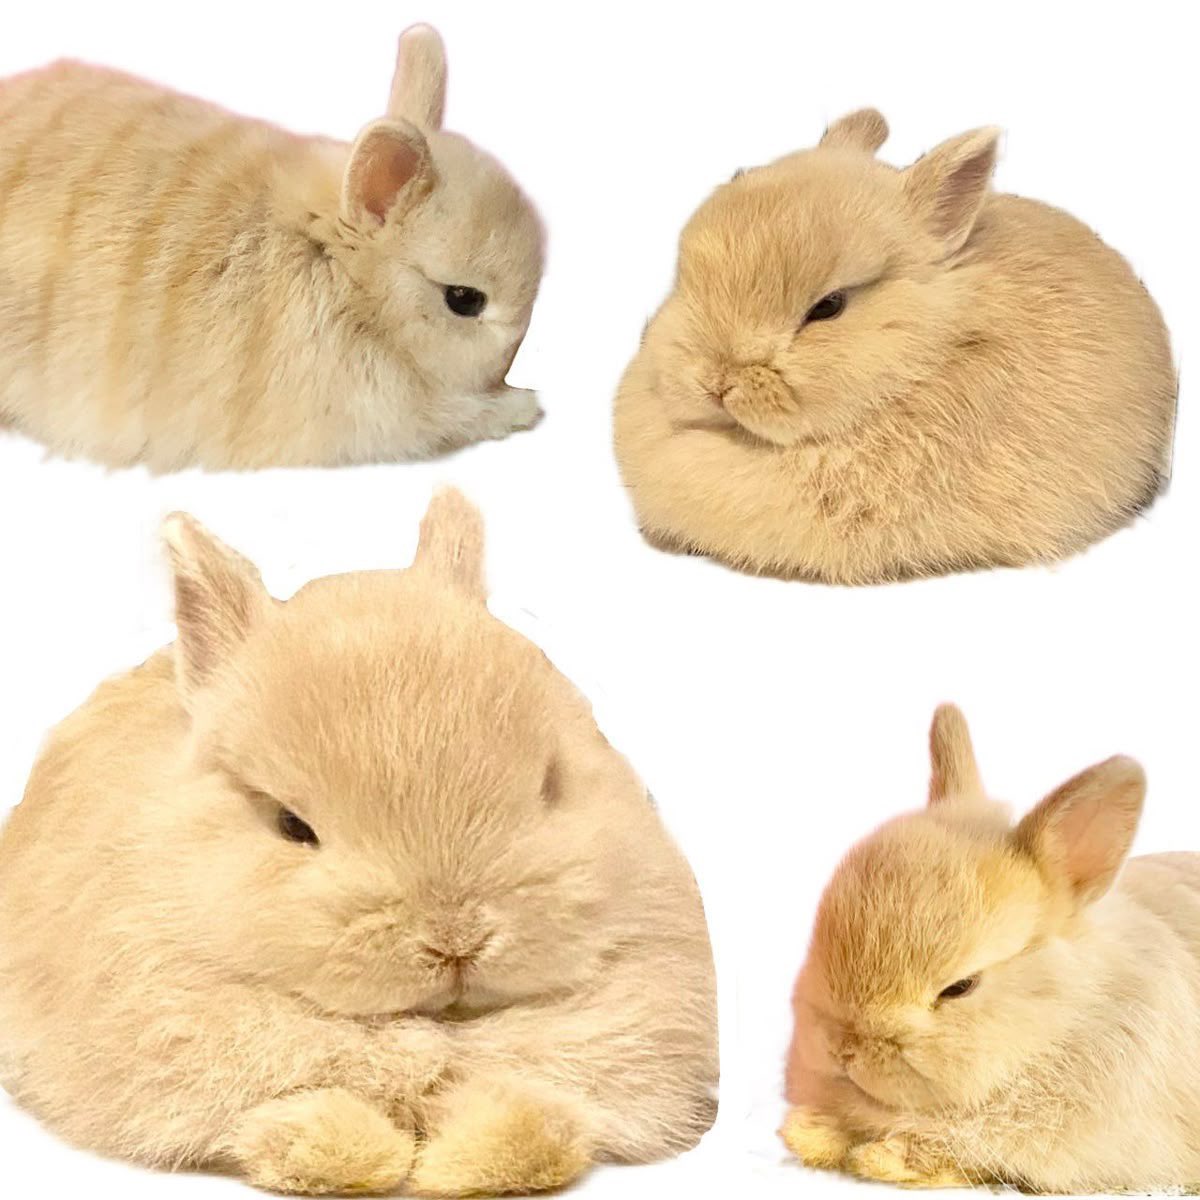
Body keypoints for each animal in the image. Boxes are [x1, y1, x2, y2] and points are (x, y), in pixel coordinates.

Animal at [0, 25, 544, 471]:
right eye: (464, 300)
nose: (514, 354)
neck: (340, 272)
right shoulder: (386, 413)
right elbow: (457, 416)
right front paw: (524, 405)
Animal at [0, 489, 718, 1195]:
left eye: (551, 784)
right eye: (291, 825)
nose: (455, 940)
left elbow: (535, 1122)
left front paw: (463, 1166)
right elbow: (296, 1116)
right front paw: (358, 1156)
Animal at [781, 703, 1200, 1193]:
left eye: (960, 987)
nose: (844, 1049)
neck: (1062, 1020)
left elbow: (962, 1153)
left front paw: (881, 1158)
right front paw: (806, 1133)